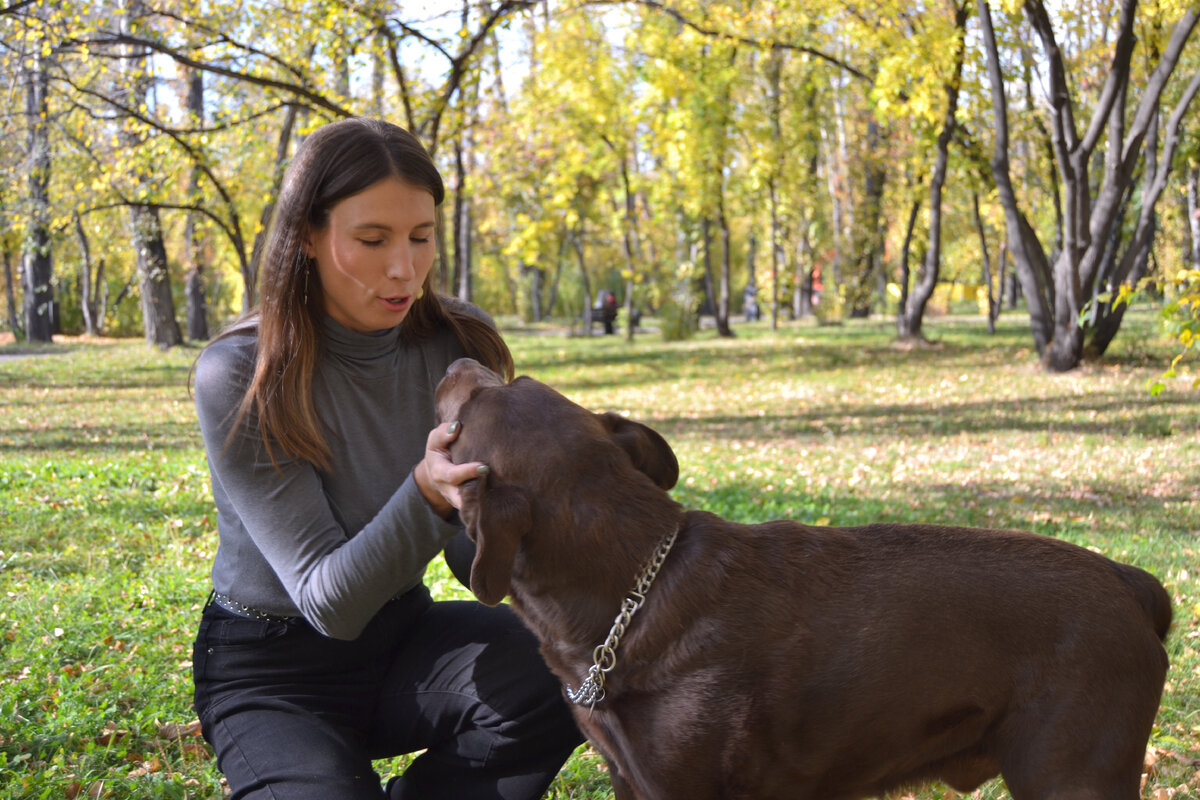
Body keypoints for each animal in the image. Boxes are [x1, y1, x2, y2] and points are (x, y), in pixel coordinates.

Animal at [436, 357, 1166, 800]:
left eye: (469, 410)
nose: (455, 363)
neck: (632, 594)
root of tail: (1130, 583)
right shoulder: (627, 776)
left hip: (1071, 771)